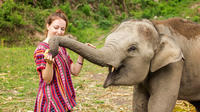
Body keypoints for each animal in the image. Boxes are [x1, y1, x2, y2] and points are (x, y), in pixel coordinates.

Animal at [48, 18, 200, 111]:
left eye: (132, 48)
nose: (52, 51)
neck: (157, 27)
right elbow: (139, 103)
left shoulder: (174, 65)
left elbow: (159, 104)